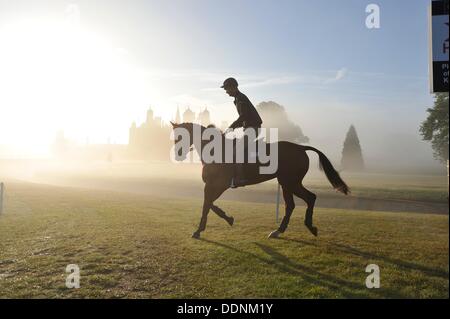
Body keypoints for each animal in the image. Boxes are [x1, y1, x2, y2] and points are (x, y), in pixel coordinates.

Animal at [171, 122, 350, 240]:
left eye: (180, 136)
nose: (177, 154)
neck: (215, 150)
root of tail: (300, 148)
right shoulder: (213, 186)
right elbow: (210, 205)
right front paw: (228, 218)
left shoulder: (218, 185)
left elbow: (207, 205)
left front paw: (199, 230)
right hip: (287, 183)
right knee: (291, 205)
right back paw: (279, 231)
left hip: (290, 182)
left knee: (309, 198)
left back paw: (308, 226)